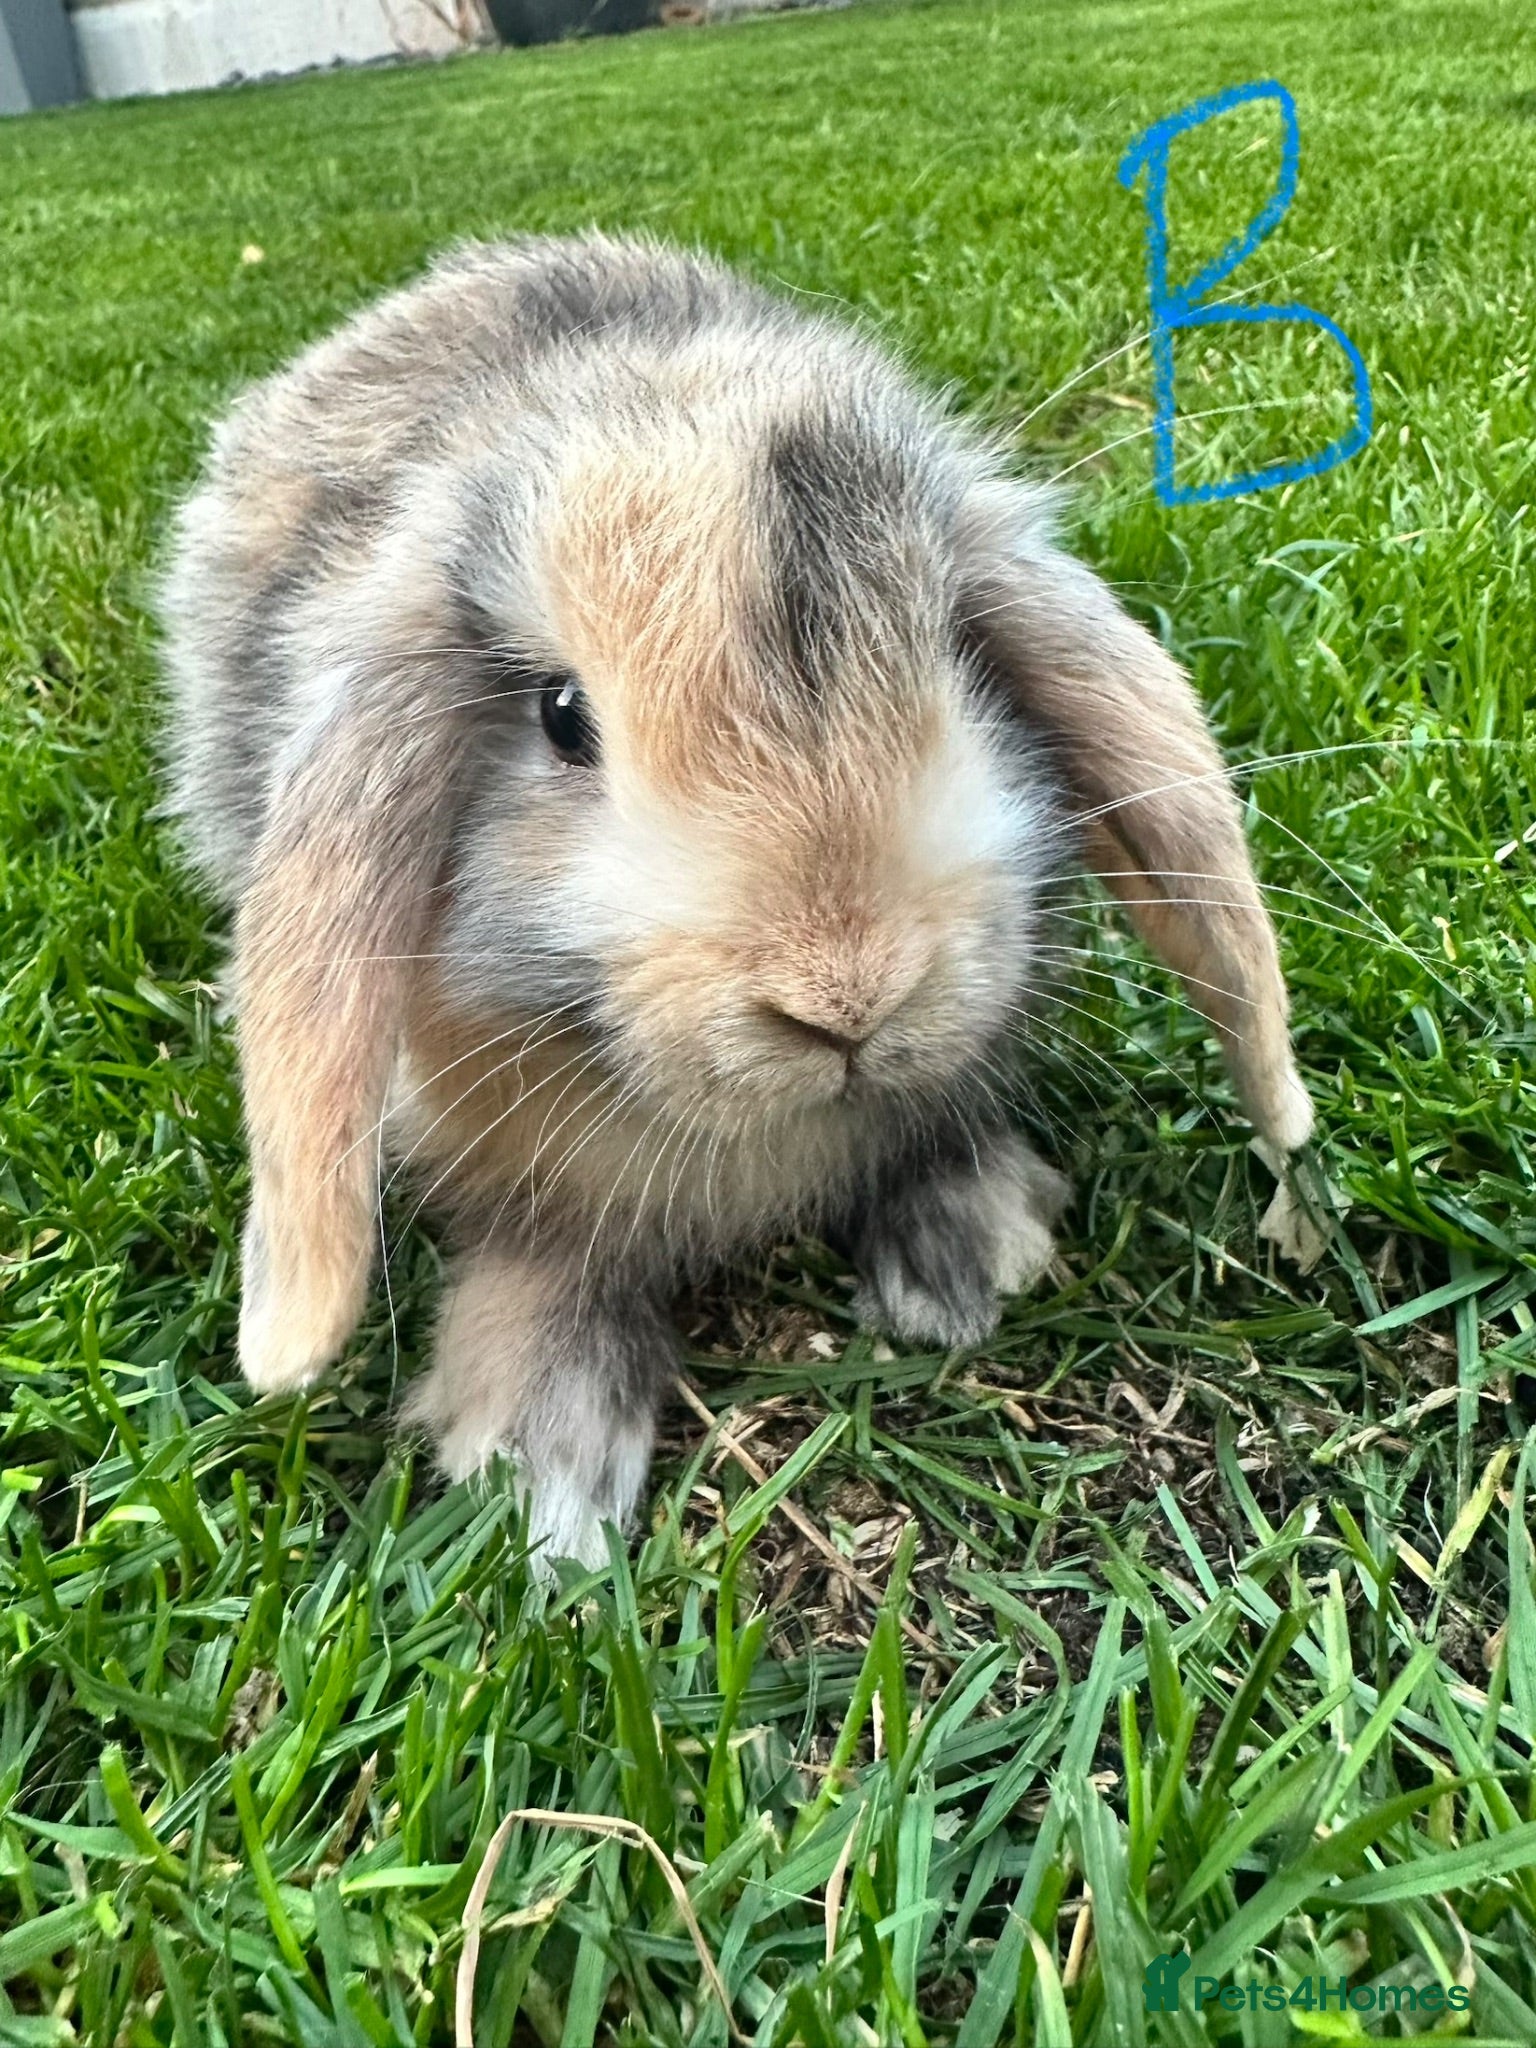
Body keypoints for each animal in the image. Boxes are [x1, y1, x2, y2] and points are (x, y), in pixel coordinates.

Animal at [160, 233, 1313, 1566]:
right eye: (563, 715)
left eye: (955, 652)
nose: (848, 995)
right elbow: (543, 1257)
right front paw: (538, 1470)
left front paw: (977, 1254)